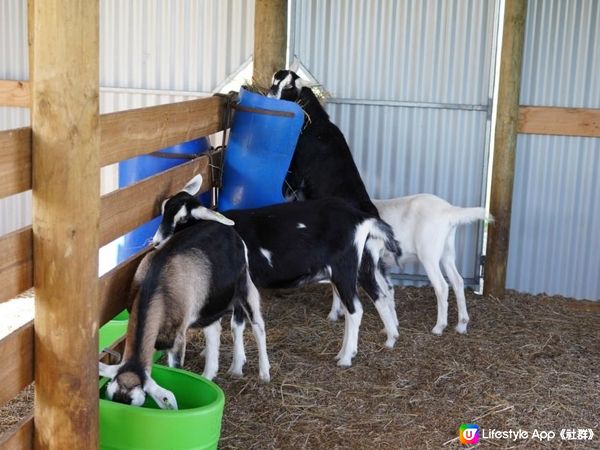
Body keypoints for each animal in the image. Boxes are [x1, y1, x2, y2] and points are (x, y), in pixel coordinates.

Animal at [100, 217, 270, 408]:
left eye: (138, 402)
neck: (155, 285)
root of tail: (229, 230)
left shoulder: (178, 339)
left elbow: (176, 370)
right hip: (210, 301)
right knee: (217, 330)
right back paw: (214, 371)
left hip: (245, 285)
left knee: (256, 324)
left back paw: (262, 372)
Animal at [152, 174, 400, 368]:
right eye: (164, 209)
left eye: (183, 218)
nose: (156, 242)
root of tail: (362, 218)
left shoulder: (240, 284)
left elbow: (236, 325)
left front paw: (237, 364)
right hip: (363, 264)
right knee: (379, 296)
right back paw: (388, 339)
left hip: (344, 267)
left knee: (355, 309)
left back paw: (346, 358)